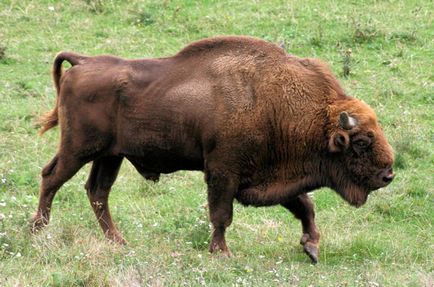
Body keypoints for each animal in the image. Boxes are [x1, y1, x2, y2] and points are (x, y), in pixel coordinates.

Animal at [32, 36, 396, 264]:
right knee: (52, 178)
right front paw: (221, 253)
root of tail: (83, 63)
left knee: (97, 191)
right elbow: (221, 214)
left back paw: (118, 242)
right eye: (360, 142)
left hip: (110, 156)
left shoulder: (271, 177)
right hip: (79, 149)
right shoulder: (223, 172)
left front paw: (312, 248)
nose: (388, 174)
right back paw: (38, 230)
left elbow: (304, 206)